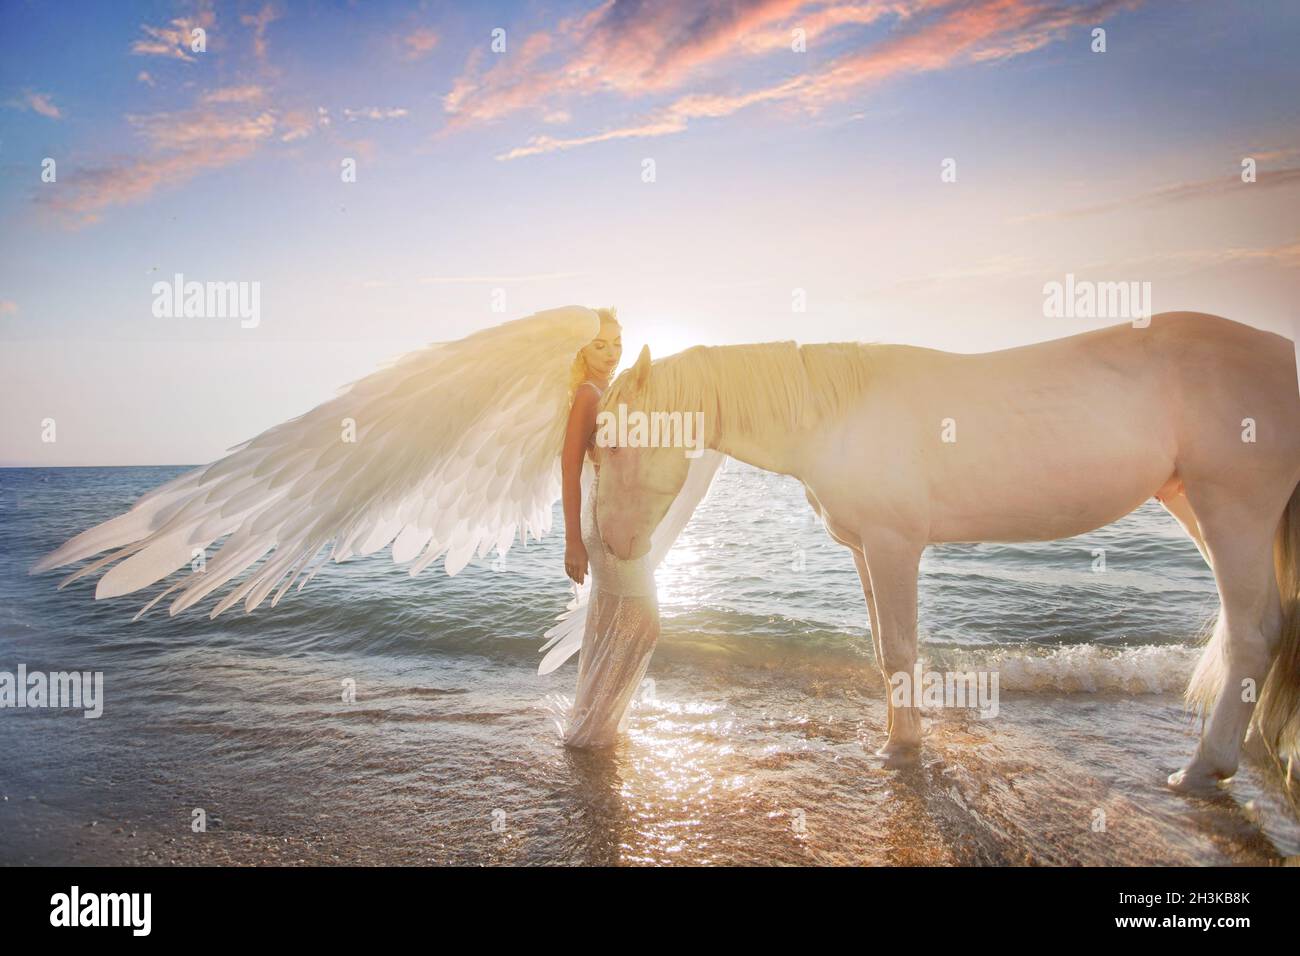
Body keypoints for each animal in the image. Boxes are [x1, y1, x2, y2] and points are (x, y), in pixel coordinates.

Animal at [593, 312, 1300, 792]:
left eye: (622, 443)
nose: (618, 545)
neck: (835, 415)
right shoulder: (865, 550)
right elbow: (885, 650)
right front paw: (898, 738)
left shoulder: (893, 545)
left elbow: (900, 648)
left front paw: (902, 750)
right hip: (1195, 505)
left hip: (1232, 510)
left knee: (1252, 634)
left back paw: (1203, 767)